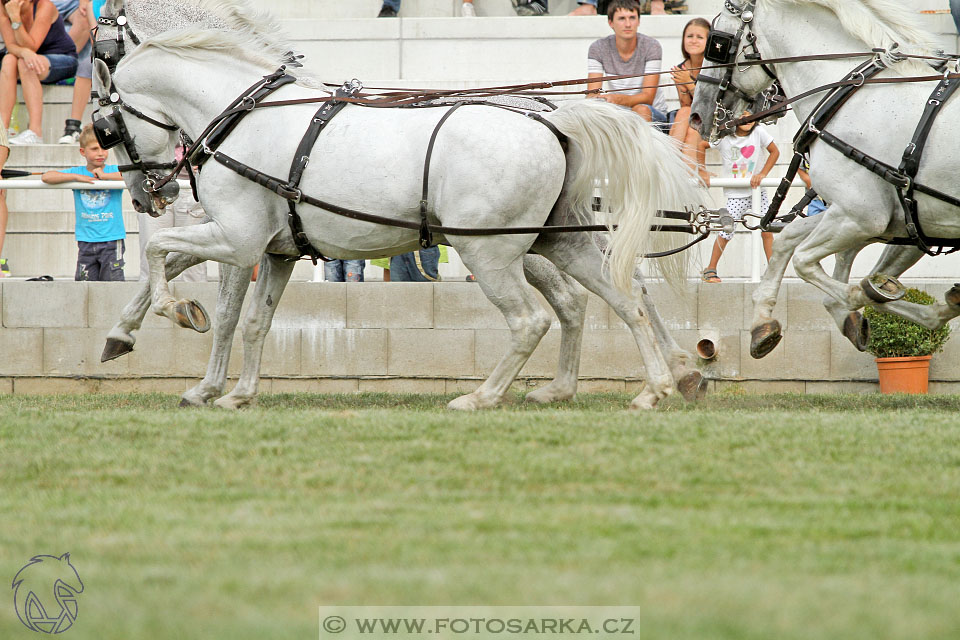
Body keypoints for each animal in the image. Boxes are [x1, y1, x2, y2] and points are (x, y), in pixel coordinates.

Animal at [97, 23, 708, 410]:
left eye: (105, 129)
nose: (145, 196)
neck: (243, 119)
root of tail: (551, 120)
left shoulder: (237, 240)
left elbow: (165, 257)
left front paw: (176, 315)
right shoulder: (275, 251)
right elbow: (251, 321)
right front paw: (236, 393)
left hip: (488, 252)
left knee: (531, 320)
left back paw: (482, 397)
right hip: (560, 243)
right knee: (621, 299)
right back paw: (651, 387)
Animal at [692, 0, 960, 342]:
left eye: (716, 42)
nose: (697, 114)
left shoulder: (861, 216)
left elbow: (805, 262)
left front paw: (863, 294)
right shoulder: (892, 221)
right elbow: (787, 239)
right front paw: (762, 322)